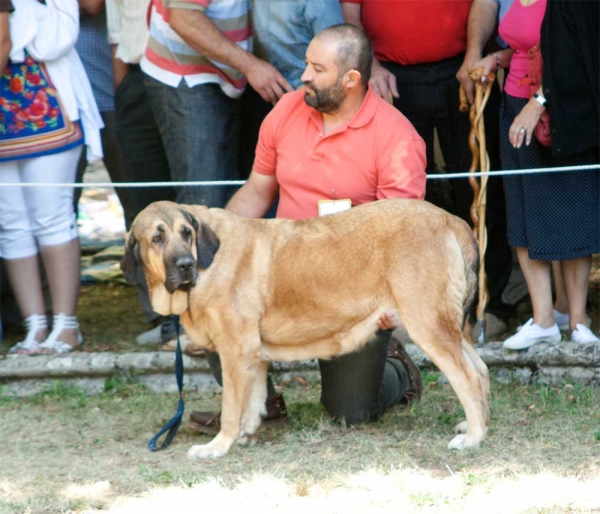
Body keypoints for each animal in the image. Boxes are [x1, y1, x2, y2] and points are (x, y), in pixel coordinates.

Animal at [120, 197, 488, 456]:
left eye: (186, 233)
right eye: (157, 238)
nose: (185, 264)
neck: (207, 258)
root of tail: (451, 220)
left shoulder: (234, 351)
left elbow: (231, 408)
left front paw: (219, 446)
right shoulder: (252, 353)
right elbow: (253, 400)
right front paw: (247, 433)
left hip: (429, 326)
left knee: (467, 379)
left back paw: (473, 438)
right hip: (451, 328)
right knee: (481, 370)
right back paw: (478, 425)